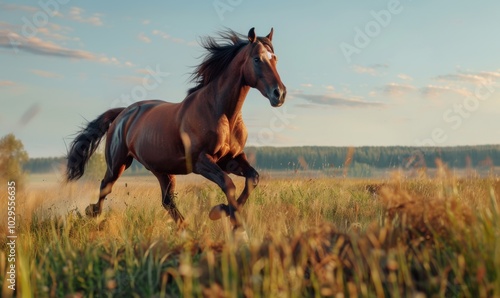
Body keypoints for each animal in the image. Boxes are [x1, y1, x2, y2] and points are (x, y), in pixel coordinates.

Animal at [64, 28, 288, 228]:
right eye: (257, 59)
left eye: (275, 58)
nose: (279, 94)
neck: (222, 113)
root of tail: (123, 113)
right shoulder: (201, 161)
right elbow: (228, 185)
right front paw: (225, 215)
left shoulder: (230, 159)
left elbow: (253, 179)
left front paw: (223, 212)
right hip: (118, 163)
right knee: (105, 187)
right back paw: (93, 214)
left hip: (162, 170)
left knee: (167, 201)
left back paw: (185, 228)